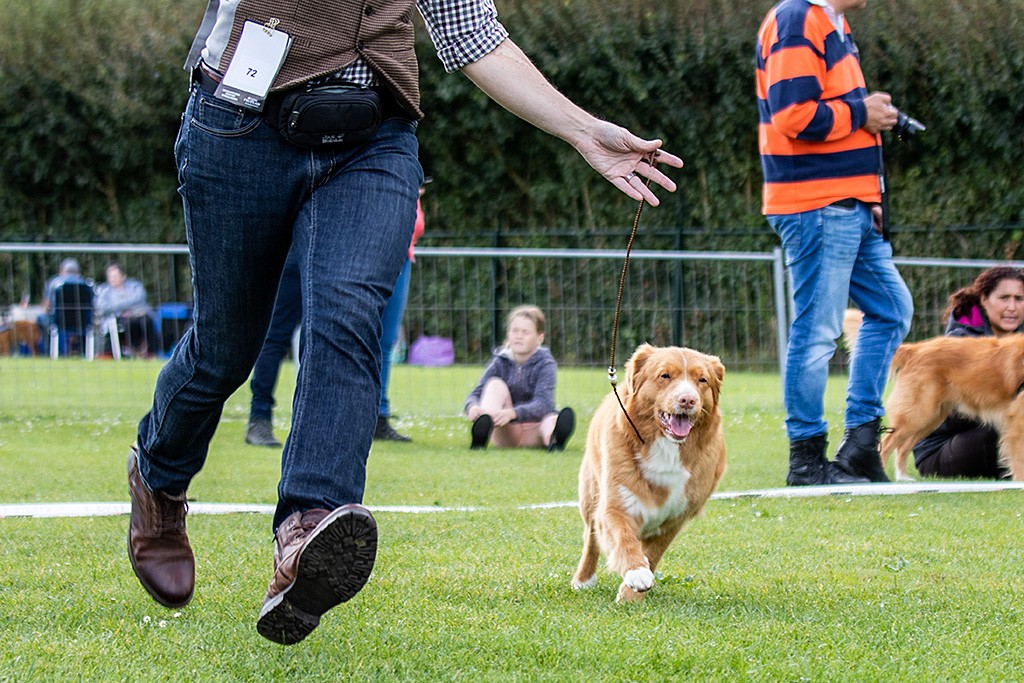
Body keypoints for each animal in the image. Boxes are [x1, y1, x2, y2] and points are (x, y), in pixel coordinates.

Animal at [569, 348, 729, 602]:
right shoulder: (615, 503)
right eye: (665, 376)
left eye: (702, 380)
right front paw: (636, 572)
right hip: (590, 493)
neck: (666, 448)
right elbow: (624, 537)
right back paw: (583, 580)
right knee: (591, 538)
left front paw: (630, 596)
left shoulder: (674, 519)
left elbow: (653, 554)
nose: (687, 400)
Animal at [876, 335, 1024, 481]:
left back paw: (903, 477)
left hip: (930, 419)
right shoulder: (1016, 423)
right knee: (885, 445)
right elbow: (1018, 460)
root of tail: (914, 350)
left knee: (902, 448)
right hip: (917, 415)